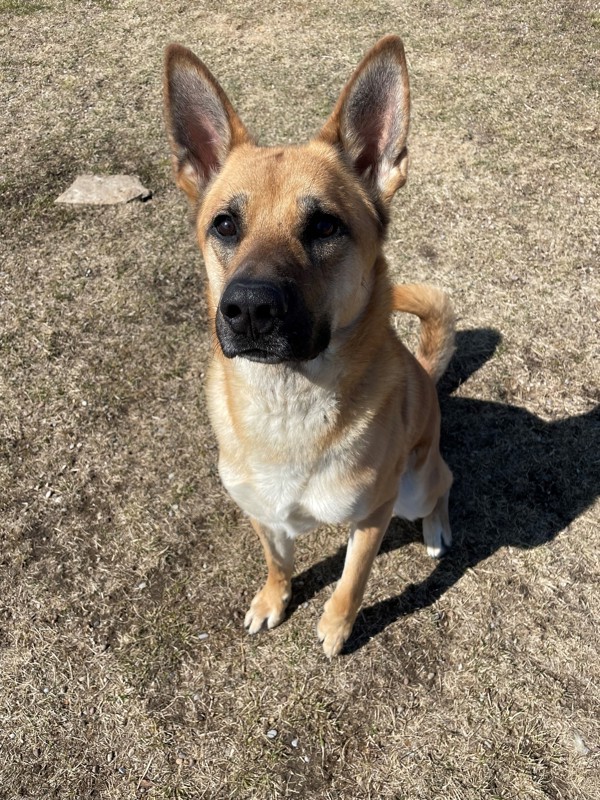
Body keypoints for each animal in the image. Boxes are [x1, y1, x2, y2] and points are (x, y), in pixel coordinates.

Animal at [164, 34, 454, 656]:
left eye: (324, 226)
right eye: (225, 224)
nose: (249, 309)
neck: (287, 403)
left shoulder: (374, 514)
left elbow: (352, 580)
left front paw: (336, 627)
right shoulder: (263, 514)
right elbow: (278, 562)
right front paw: (273, 600)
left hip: (414, 485)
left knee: (444, 482)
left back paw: (438, 528)